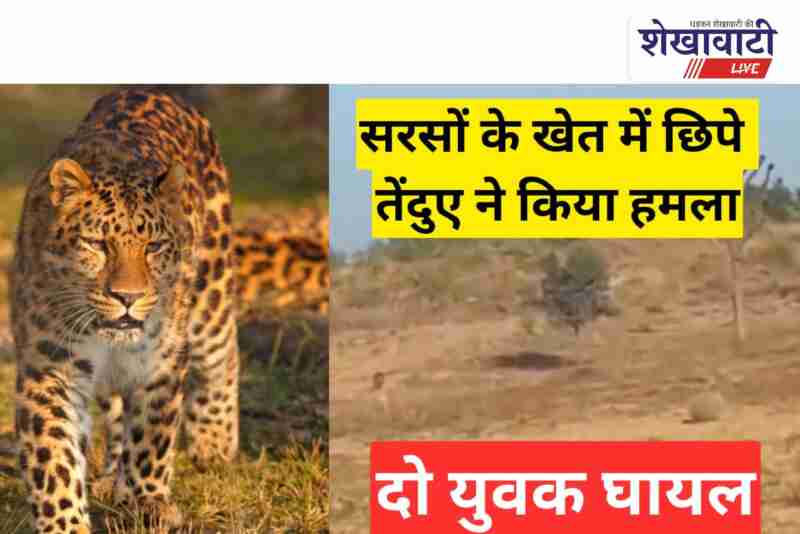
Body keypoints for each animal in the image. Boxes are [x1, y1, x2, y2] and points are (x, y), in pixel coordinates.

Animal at [9, 88, 244, 533]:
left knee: (224, 353)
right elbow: (56, 457)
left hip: (211, 291)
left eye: (153, 247)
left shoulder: (161, 362)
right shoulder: (52, 368)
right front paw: (66, 522)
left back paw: (214, 444)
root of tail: (154, 90)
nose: (127, 297)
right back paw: (111, 478)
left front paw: (148, 503)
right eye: (97, 244)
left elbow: (151, 438)